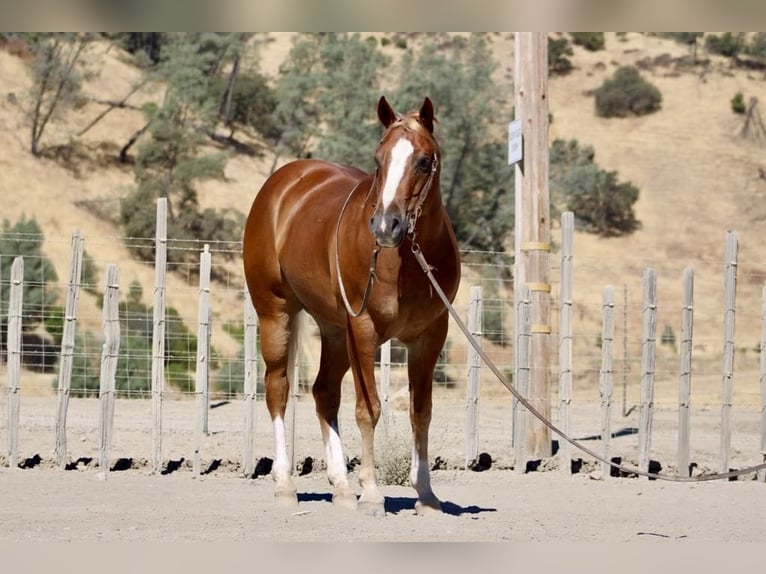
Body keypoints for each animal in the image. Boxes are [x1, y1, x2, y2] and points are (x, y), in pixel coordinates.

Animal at [242, 96, 461, 516]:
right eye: (378, 159)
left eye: (424, 161)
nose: (387, 226)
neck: (403, 262)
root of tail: (283, 182)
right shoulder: (364, 330)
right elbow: (368, 409)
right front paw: (373, 493)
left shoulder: (429, 336)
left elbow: (420, 411)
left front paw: (426, 494)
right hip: (276, 314)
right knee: (277, 389)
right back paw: (285, 483)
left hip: (334, 331)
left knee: (324, 393)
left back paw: (341, 486)